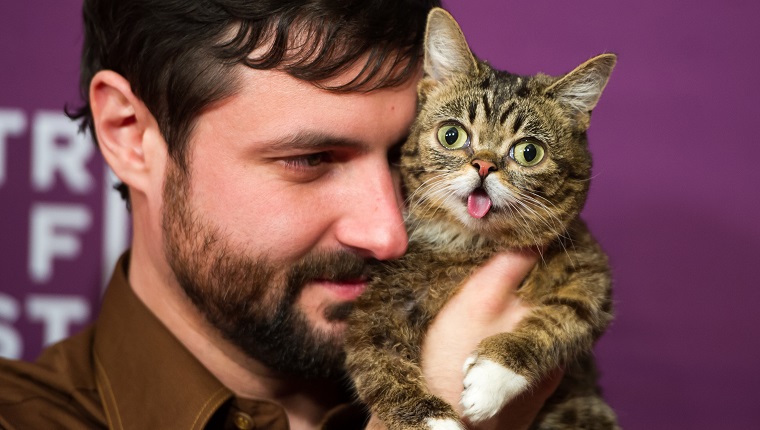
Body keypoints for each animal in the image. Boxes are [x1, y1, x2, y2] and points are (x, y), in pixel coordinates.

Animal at [344, 6, 616, 430]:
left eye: (529, 152)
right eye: (452, 135)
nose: (485, 166)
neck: (475, 245)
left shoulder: (590, 274)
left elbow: (561, 319)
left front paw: (493, 376)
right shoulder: (377, 307)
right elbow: (379, 364)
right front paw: (433, 419)